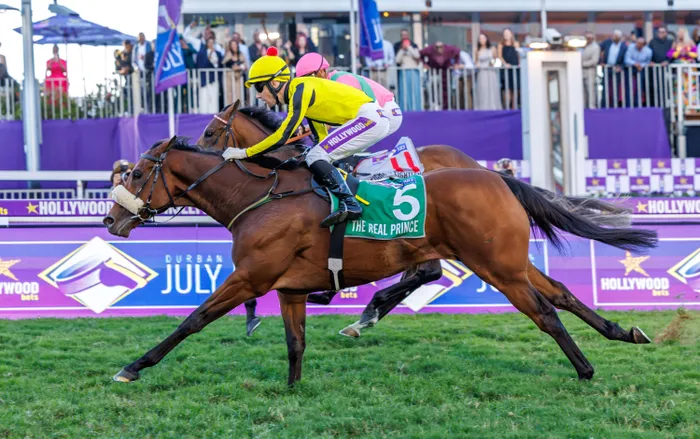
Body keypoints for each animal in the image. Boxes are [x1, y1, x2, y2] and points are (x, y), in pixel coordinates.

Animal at [104, 135, 657, 386]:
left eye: (136, 174)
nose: (111, 219)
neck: (260, 198)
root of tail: (497, 176)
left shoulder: (251, 278)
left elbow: (193, 320)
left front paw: (132, 366)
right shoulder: (288, 286)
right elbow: (295, 343)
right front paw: (291, 390)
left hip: (497, 267)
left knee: (543, 312)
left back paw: (585, 369)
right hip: (510, 261)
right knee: (560, 294)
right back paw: (624, 332)